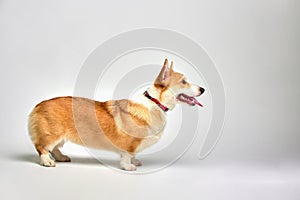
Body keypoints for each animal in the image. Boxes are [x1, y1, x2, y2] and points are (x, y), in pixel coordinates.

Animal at [28, 58, 205, 171]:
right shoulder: (129, 143)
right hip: (52, 134)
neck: (155, 102)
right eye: (184, 82)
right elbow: (127, 155)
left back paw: (61, 157)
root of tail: (38, 105)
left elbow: (133, 154)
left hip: (60, 136)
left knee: (55, 148)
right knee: (42, 148)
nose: (203, 89)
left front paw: (135, 161)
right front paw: (129, 166)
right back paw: (47, 162)